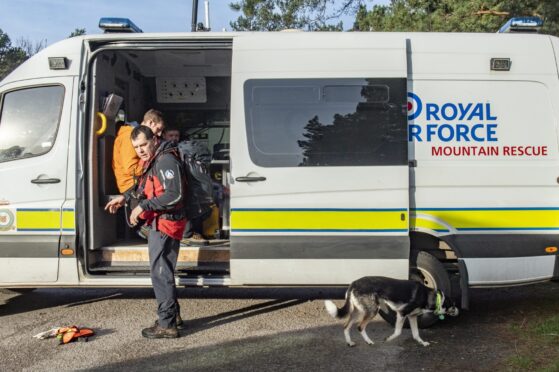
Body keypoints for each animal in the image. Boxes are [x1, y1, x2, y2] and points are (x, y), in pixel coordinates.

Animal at [324, 276, 460, 346]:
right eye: (453, 305)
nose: (459, 311)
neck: (429, 296)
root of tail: (353, 283)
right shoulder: (402, 314)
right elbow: (398, 332)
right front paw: (388, 339)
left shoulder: (412, 317)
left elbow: (416, 334)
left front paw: (422, 343)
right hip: (372, 310)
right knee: (360, 327)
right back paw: (369, 341)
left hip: (358, 311)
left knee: (346, 326)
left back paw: (350, 342)